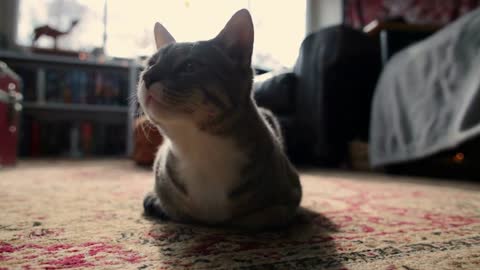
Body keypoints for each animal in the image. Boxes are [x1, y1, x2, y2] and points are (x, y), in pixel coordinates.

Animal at [137, 9, 300, 231]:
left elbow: (262, 217)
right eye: (151, 63)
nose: (147, 76)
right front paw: (158, 202)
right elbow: (175, 209)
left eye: (189, 66)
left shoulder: (291, 194)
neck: (199, 148)